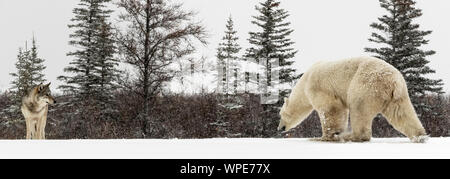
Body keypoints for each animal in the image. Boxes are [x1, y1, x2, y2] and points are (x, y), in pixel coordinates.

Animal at [278, 56, 428, 143]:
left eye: (281, 115)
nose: (280, 128)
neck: (304, 82)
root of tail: (393, 80)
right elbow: (341, 111)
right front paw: (334, 133)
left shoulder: (318, 87)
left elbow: (330, 108)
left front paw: (325, 136)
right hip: (397, 94)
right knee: (401, 113)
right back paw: (420, 136)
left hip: (366, 85)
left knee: (359, 108)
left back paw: (349, 136)